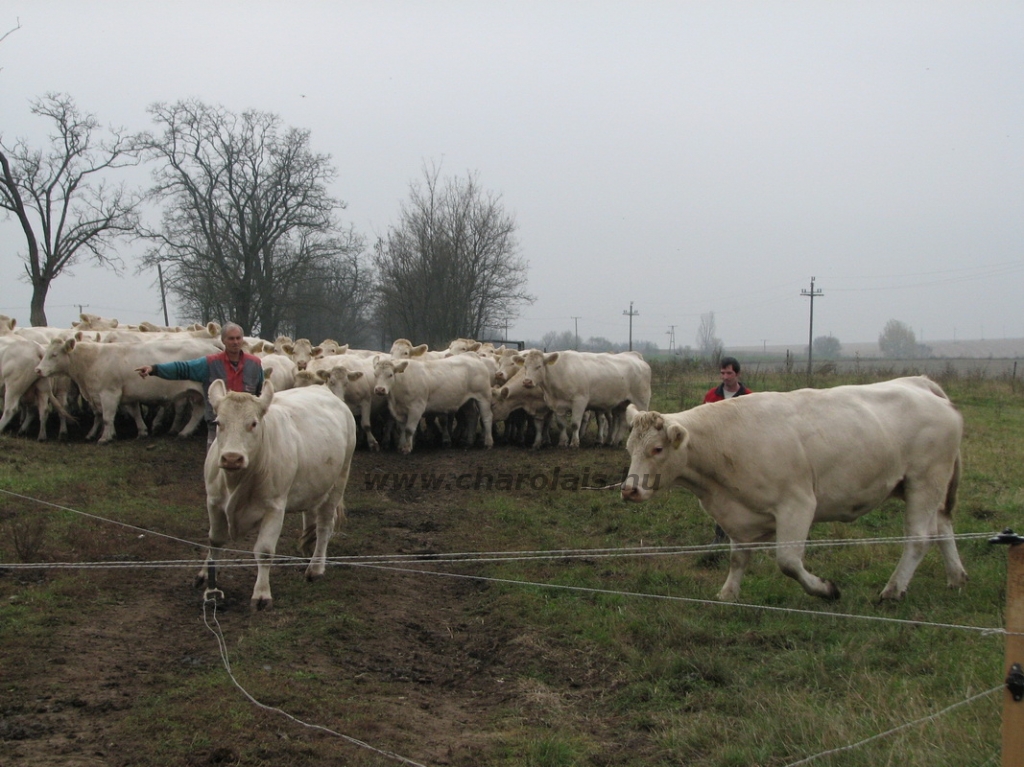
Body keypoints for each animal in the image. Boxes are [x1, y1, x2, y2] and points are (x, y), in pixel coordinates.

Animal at [197, 378, 358, 610]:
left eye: (253, 423)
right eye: (218, 422)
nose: (232, 458)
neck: (236, 482)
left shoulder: (274, 507)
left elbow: (264, 551)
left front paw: (262, 594)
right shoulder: (213, 502)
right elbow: (215, 540)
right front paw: (206, 575)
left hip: (339, 480)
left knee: (324, 525)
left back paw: (316, 567)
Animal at [516, 348, 651, 446]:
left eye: (538, 366)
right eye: (525, 366)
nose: (527, 381)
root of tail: (634, 356)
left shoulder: (579, 401)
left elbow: (575, 423)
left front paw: (574, 443)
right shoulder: (558, 405)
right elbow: (561, 424)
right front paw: (562, 442)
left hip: (641, 401)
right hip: (621, 403)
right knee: (622, 421)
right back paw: (614, 442)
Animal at [622, 376, 966, 606]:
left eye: (656, 449)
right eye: (628, 447)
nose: (629, 490)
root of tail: (920, 384)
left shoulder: (797, 504)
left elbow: (788, 561)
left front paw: (825, 589)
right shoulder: (738, 515)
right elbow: (738, 558)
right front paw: (728, 594)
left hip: (925, 480)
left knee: (919, 538)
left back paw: (893, 590)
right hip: (924, 486)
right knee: (942, 526)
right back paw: (956, 576)